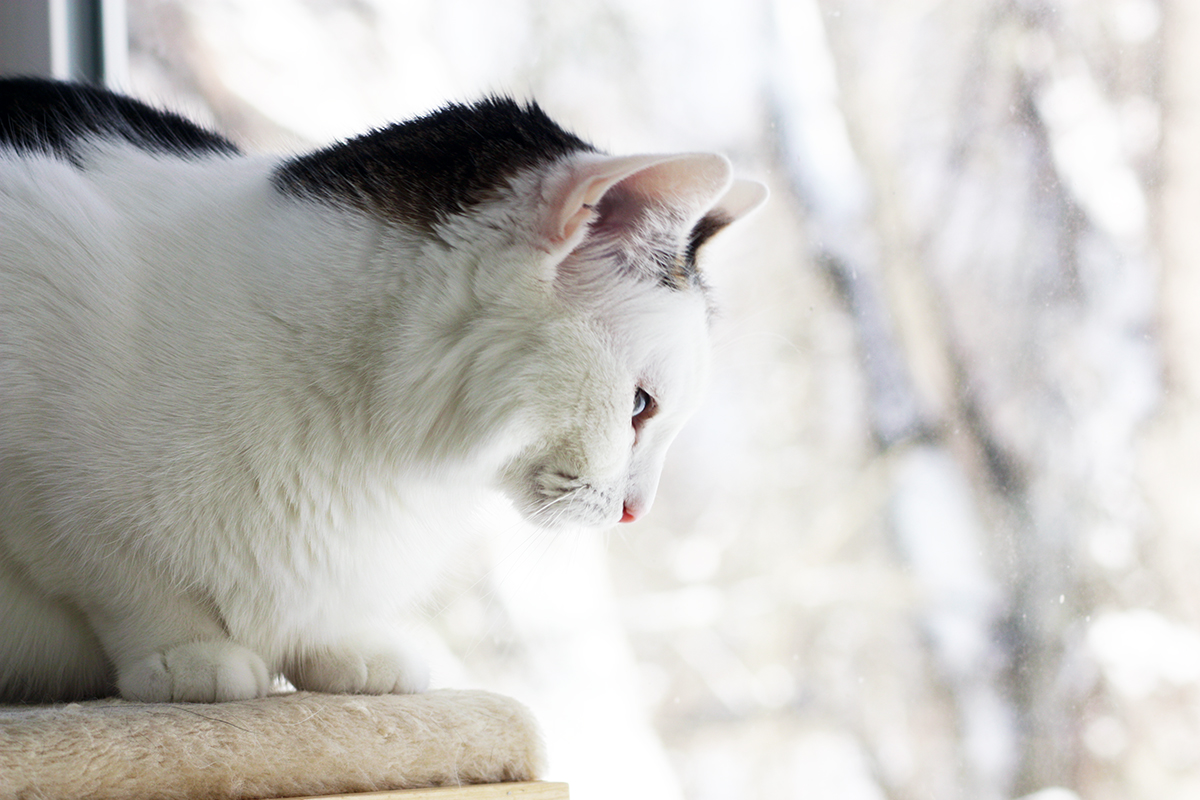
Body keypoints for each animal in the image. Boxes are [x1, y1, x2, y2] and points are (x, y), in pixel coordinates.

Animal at [0, 81, 763, 705]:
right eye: (639, 408)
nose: (638, 511)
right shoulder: (46, 472)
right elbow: (120, 576)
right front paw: (188, 654)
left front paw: (341, 648)